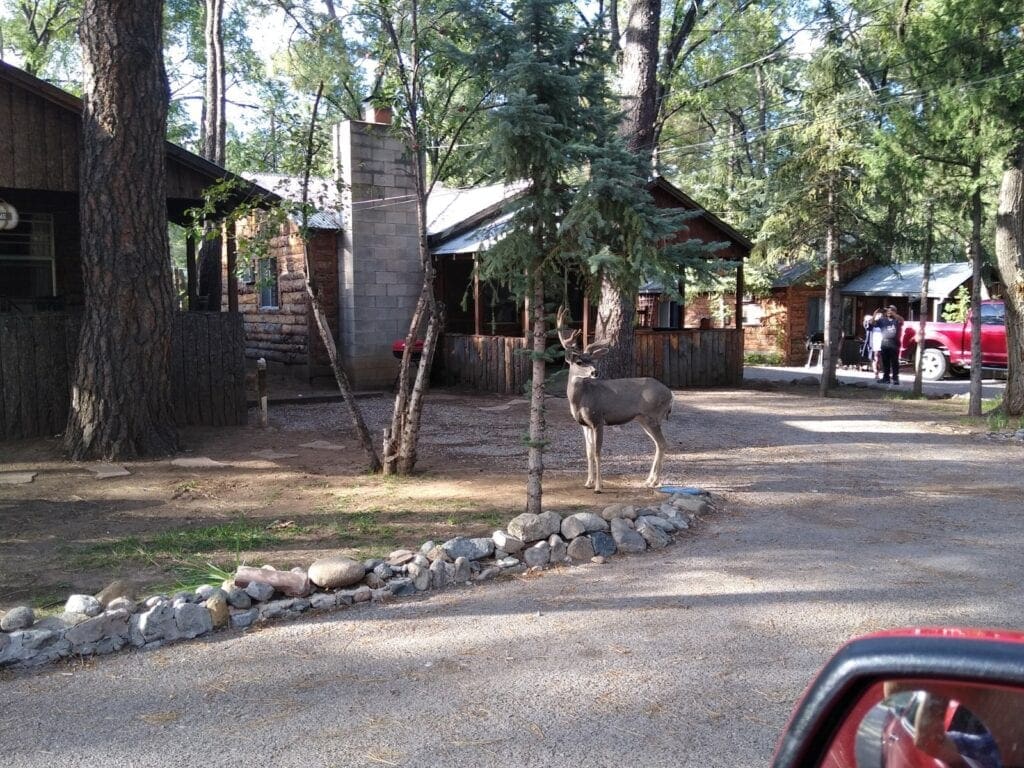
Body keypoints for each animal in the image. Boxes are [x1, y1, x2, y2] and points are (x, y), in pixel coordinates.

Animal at [557, 307, 675, 493]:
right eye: (579, 361)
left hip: (653, 416)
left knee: (662, 443)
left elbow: (597, 452)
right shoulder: (584, 424)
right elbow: (588, 452)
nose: (595, 372)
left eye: (592, 360)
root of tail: (670, 394)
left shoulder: (598, 419)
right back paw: (648, 480)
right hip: (643, 419)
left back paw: (654, 482)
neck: (581, 399)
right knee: (658, 444)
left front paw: (598, 487)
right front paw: (588, 482)